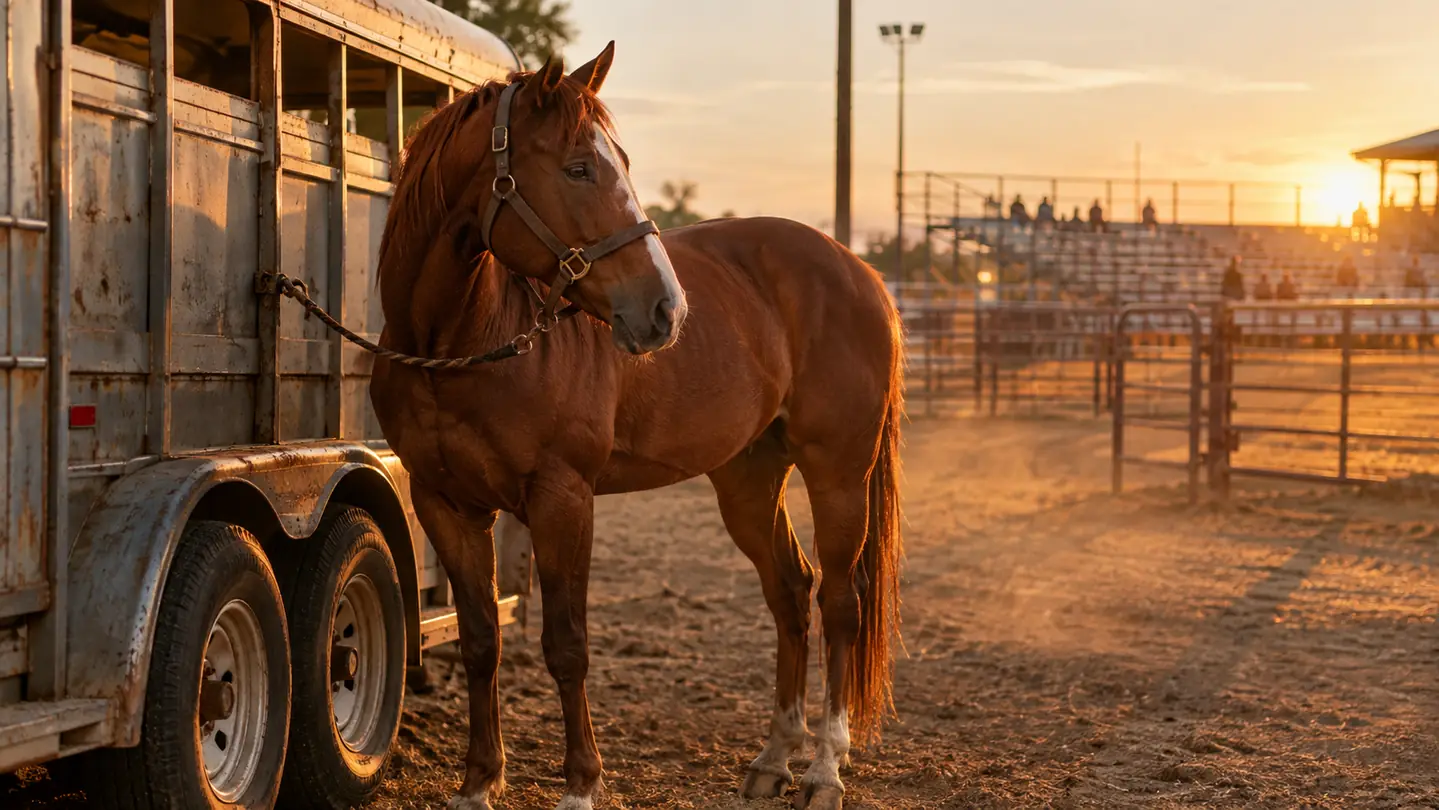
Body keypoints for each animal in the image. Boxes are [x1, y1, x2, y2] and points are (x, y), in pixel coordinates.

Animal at [370, 42, 904, 810]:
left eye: (615, 159)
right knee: (789, 591)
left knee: (839, 600)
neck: (461, 344)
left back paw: (824, 768)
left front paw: (579, 787)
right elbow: (479, 643)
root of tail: (859, 271)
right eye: (578, 167)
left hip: (838, 474)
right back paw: (774, 757)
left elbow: (567, 646)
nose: (664, 310)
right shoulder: (445, 504)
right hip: (748, 478)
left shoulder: (563, 499)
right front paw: (476, 784)